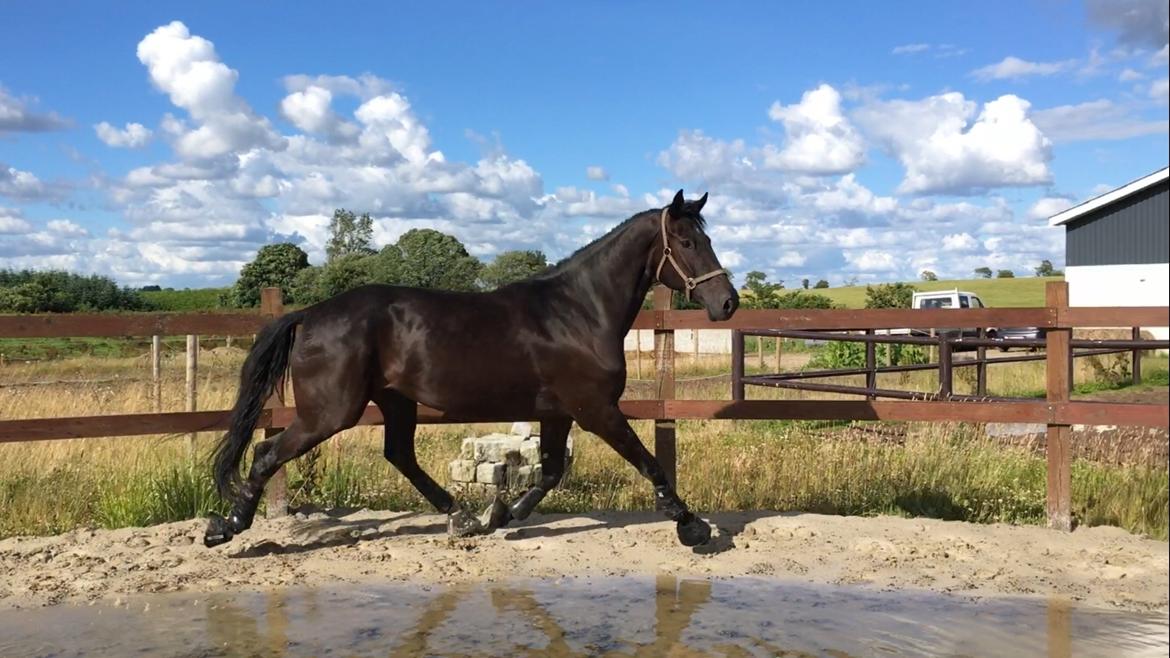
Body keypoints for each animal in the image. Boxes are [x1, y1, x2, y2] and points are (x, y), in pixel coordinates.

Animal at [208, 190, 739, 547]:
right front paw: (691, 525)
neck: (579, 313)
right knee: (267, 453)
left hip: (394, 401)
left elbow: (550, 471)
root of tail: (310, 314)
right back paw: (227, 527)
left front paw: (500, 514)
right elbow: (648, 461)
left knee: (399, 455)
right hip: (330, 412)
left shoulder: (558, 411)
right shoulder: (596, 409)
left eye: (706, 237)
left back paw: (460, 517)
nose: (727, 302)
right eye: (687, 241)